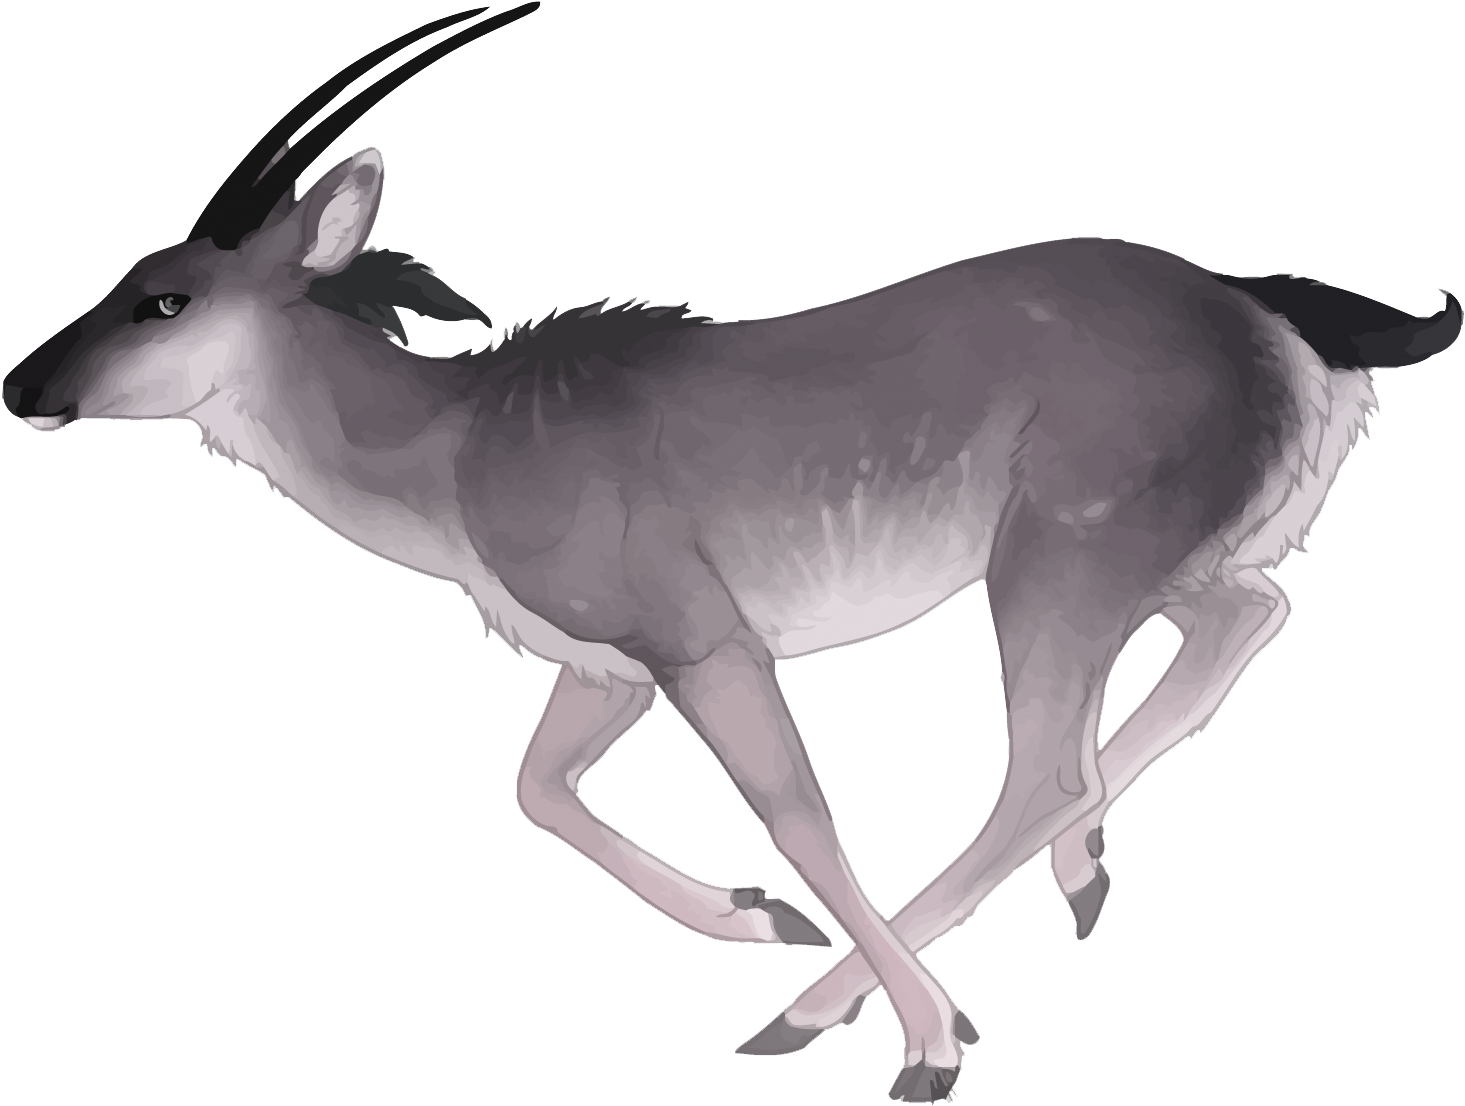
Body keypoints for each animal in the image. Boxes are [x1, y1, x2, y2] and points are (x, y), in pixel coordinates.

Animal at [5, 7, 1458, 1102]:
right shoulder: (608, 668)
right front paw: (758, 922)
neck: (462, 437)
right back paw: (1078, 881)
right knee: (1237, 623)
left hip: (1054, 568)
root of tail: (1282, 322)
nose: (23, 386)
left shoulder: (704, 645)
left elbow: (793, 807)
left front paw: (915, 1034)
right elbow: (537, 791)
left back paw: (846, 1012)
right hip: (1147, 567)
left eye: (166, 297)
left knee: (1052, 763)